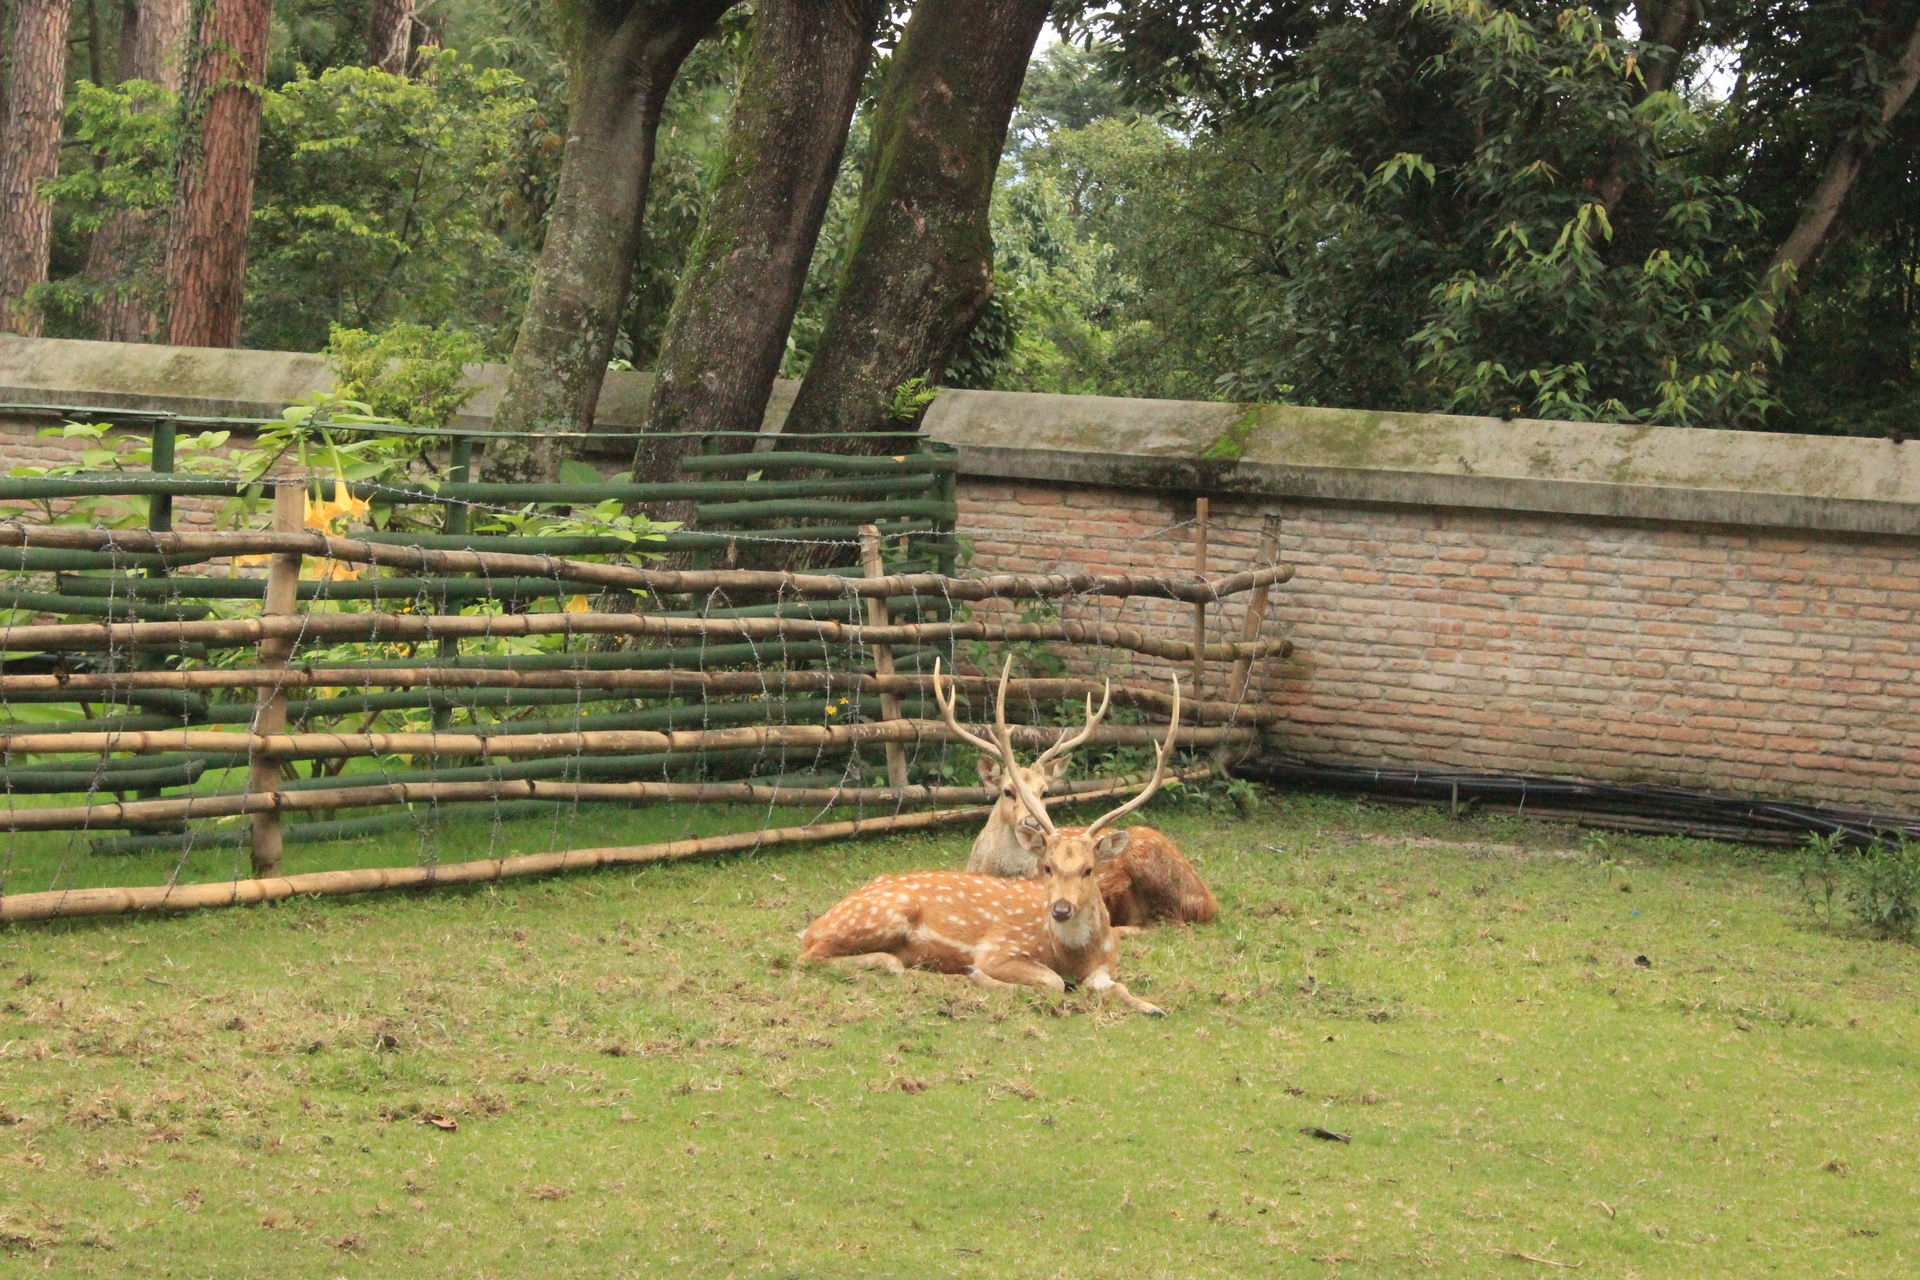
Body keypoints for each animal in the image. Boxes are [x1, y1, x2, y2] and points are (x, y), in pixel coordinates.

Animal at [797, 667, 1183, 1016]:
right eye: (1047, 867)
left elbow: (1117, 987)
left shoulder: (1107, 962)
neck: (1076, 956)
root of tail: (813, 926)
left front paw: (1153, 1007)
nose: (1060, 909)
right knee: (811, 957)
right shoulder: (999, 948)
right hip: (883, 914)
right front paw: (982, 976)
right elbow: (1052, 983)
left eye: (1089, 870)